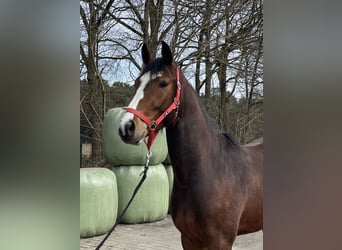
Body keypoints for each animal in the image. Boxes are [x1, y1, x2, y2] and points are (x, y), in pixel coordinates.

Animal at [117, 41, 262, 250]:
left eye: (163, 83)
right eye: (137, 83)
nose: (126, 127)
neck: (207, 171)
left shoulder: (221, 242)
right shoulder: (188, 239)